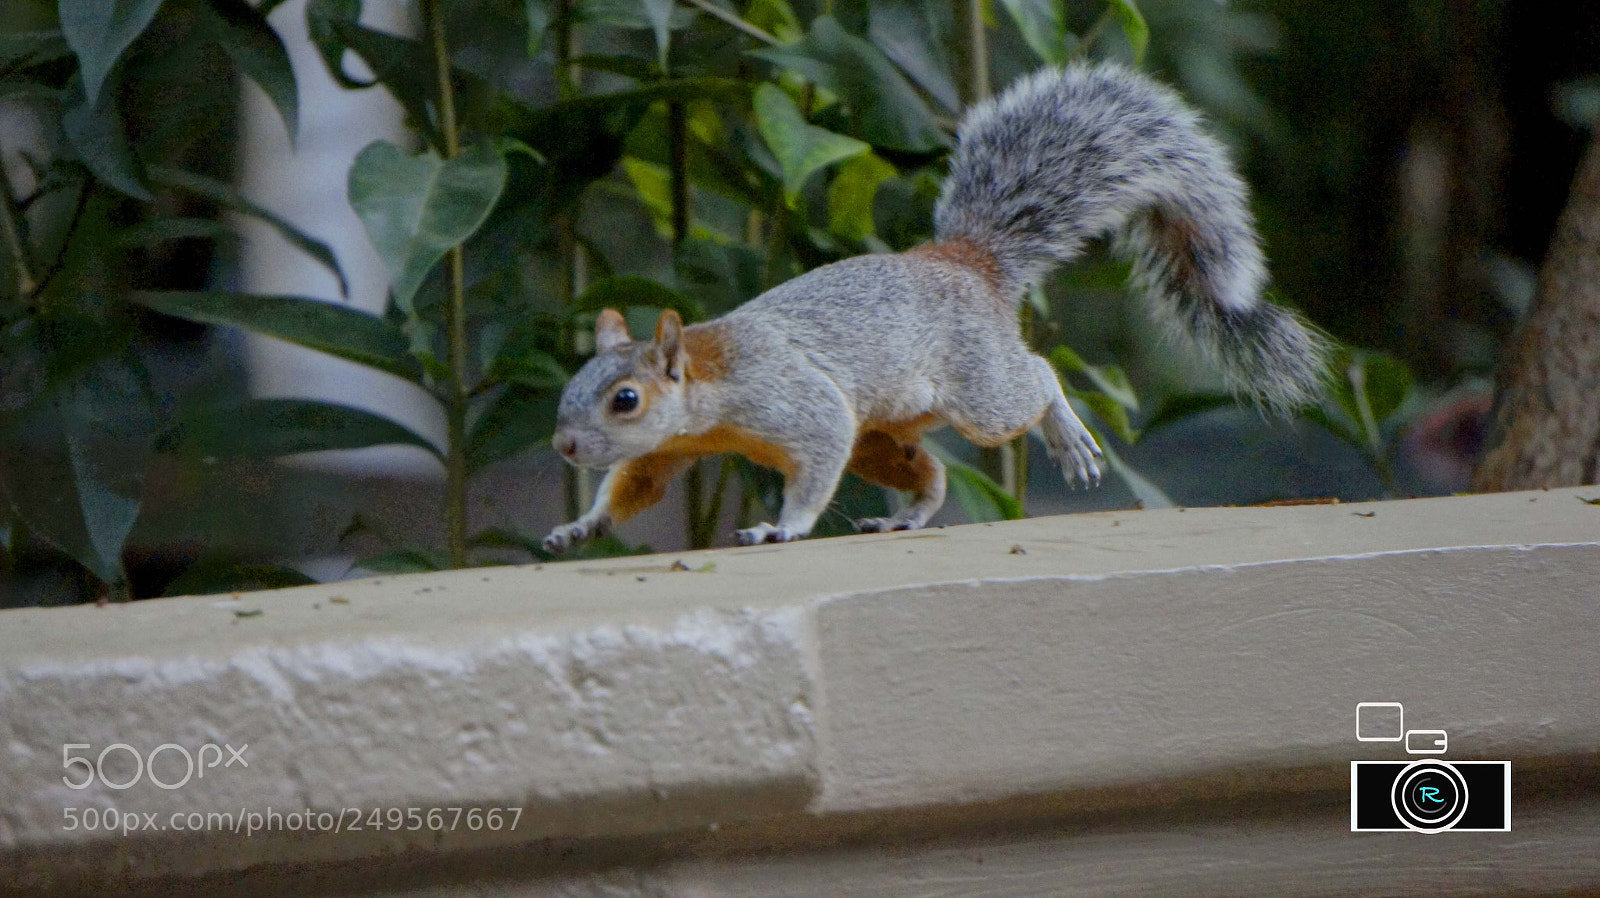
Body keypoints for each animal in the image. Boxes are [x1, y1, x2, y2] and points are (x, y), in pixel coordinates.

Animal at [543, 63, 1328, 552]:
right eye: (570, 389)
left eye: (625, 399)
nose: (565, 448)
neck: (708, 387)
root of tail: (964, 262)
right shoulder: (668, 451)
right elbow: (631, 487)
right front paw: (580, 527)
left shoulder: (796, 403)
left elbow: (812, 466)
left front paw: (782, 528)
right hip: (883, 436)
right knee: (935, 475)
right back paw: (904, 519)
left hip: (977, 391)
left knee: (1036, 378)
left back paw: (1066, 436)